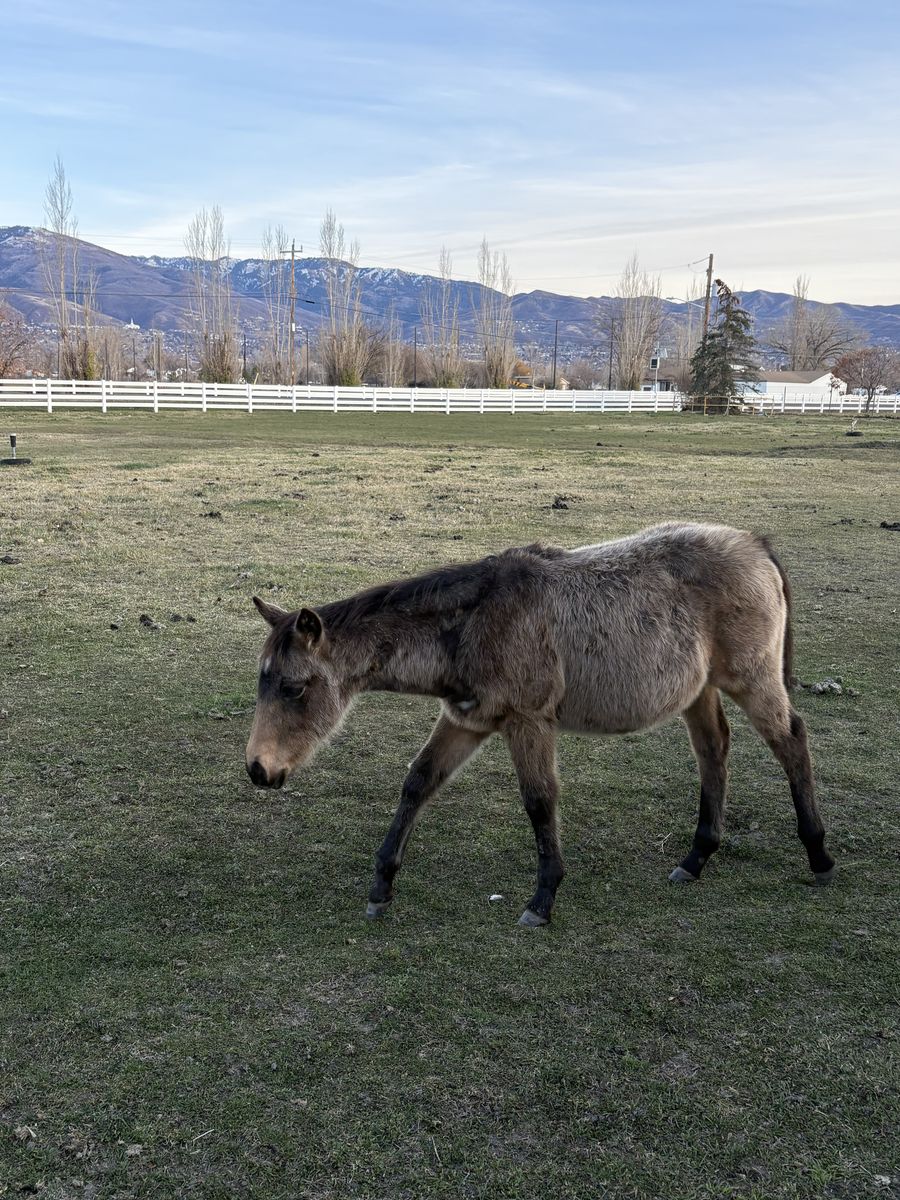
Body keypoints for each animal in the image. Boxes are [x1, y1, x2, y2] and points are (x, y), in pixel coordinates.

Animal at [245, 521, 835, 926]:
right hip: (699, 689)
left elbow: (539, 799)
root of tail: (755, 544)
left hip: (751, 679)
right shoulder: (466, 720)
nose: (258, 769)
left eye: (293, 688)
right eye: (263, 681)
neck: (473, 624)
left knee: (790, 741)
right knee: (714, 751)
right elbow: (418, 782)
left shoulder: (528, 722)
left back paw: (819, 855)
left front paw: (543, 898)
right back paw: (696, 857)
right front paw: (380, 887)